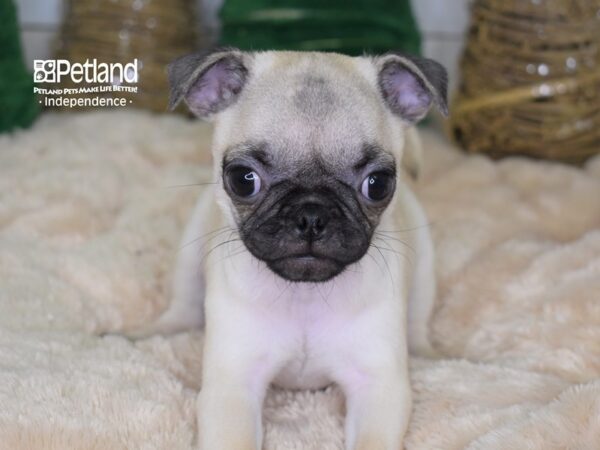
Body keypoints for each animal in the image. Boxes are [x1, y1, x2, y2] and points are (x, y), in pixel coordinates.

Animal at [144, 47, 446, 448]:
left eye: (378, 184)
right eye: (243, 180)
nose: (311, 214)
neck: (304, 295)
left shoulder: (378, 387)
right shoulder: (233, 386)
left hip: (425, 268)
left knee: (419, 320)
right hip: (189, 256)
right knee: (182, 305)